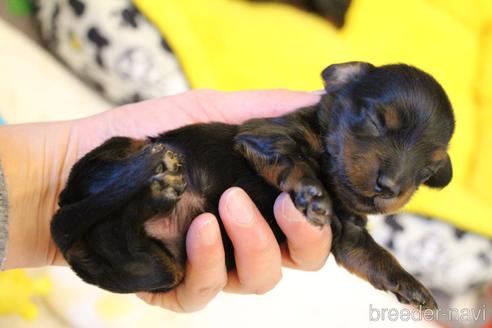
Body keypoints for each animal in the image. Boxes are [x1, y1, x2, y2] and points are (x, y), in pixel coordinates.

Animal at [50, 60, 454, 310]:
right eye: (374, 120)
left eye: (426, 171)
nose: (390, 187)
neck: (335, 184)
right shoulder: (262, 136)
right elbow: (293, 160)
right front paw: (311, 193)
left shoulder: (349, 235)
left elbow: (375, 256)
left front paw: (414, 288)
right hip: (120, 153)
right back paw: (158, 171)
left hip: (156, 268)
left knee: (115, 236)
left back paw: (158, 192)